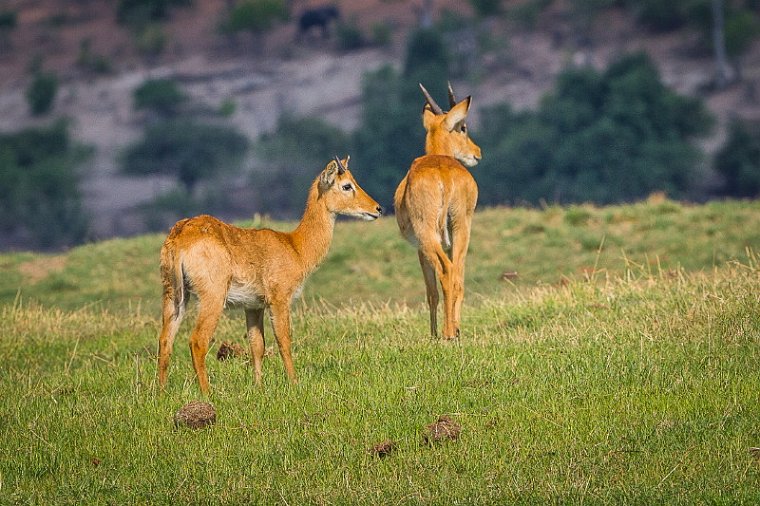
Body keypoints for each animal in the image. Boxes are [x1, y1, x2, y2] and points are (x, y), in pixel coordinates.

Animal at [156, 156, 380, 394]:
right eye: (346, 185)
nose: (378, 208)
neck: (296, 247)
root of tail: (180, 235)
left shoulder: (253, 306)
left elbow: (257, 345)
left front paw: (259, 386)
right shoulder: (279, 300)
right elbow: (284, 340)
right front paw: (294, 383)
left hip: (174, 296)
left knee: (165, 340)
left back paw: (161, 392)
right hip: (212, 299)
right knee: (197, 341)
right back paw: (207, 393)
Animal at [392, 84, 480, 340]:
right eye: (463, 128)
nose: (477, 152)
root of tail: (445, 175)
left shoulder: (420, 249)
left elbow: (430, 291)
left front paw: (432, 334)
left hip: (428, 234)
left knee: (445, 271)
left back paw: (447, 333)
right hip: (461, 226)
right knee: (457, 274)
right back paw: (455, 330)